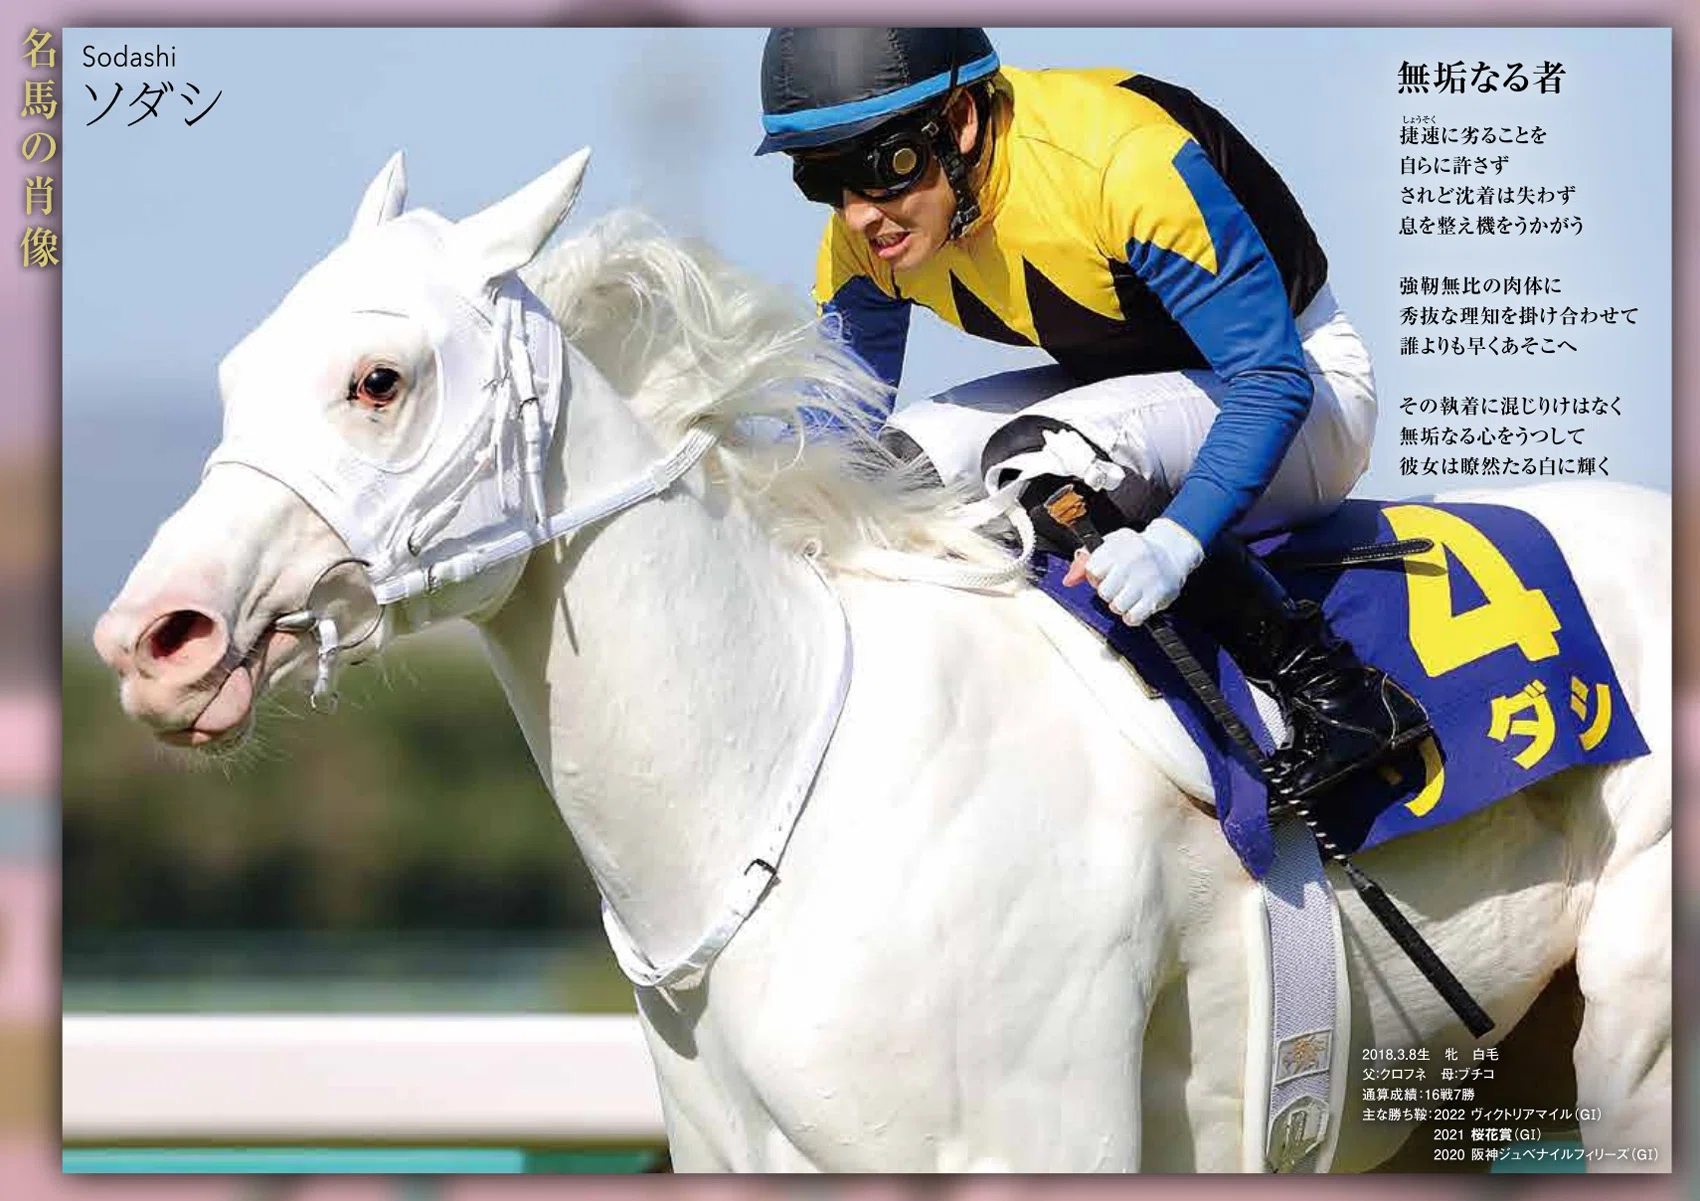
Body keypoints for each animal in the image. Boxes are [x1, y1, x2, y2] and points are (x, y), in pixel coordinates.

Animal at [92, 149, 1670, 1172]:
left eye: (379, 381)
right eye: (236, 373)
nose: (155, 640)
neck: (784, 774)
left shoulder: (1040, 1138)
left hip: (1635, 1040)